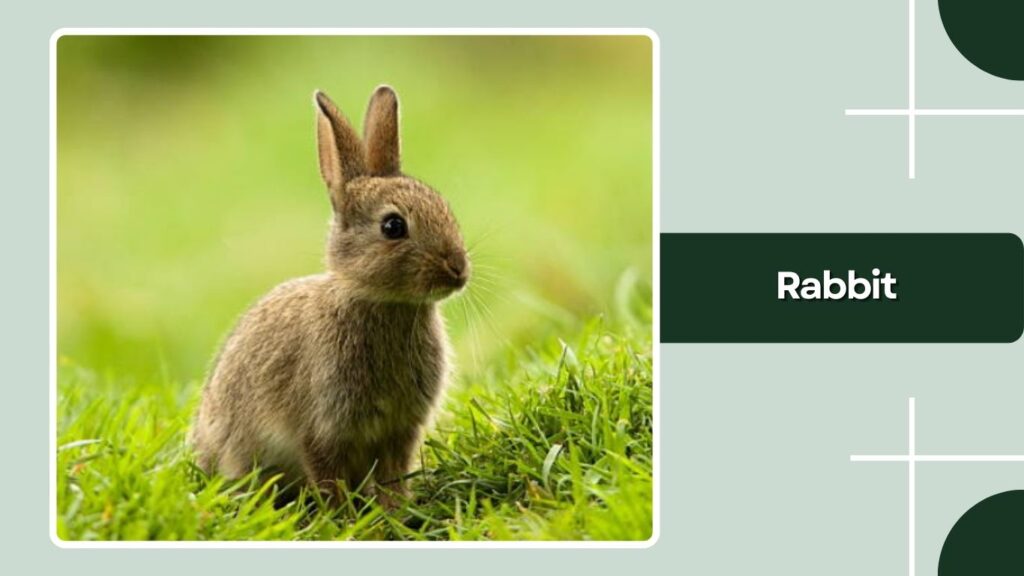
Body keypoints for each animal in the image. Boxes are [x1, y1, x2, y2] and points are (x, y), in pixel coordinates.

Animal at [189, 85, 469, 507]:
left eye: (444, 208)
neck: (382, 302)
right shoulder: (322, 426)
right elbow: (327, 474)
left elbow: (393, 473)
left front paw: (398, 510)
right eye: (393, 226)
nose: (458, 269)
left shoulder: (399, 429)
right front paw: (344, 516)